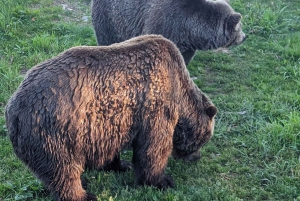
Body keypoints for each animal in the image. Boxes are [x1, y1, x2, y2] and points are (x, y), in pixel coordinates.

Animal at [4, 35, 216, 201]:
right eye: (206, 138)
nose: (196, 157)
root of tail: (13, 109)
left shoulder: (110, 123)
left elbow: (111, 148)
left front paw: (121, 165)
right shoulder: (156, 106)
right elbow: (154, 148)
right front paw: (163, 181)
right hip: (55, 132)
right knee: (63, 171)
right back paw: (84, 195)